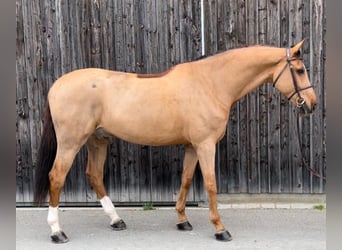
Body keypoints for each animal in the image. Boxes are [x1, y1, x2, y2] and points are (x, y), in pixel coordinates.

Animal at [33, 40, 316, 242]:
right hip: (71, 143)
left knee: (94, 175)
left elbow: (186, 180)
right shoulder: (205, 145)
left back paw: (116, 220)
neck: (211, 83)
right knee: (56, 178)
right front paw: (220, 228)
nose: (311, 105)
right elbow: (211, 184)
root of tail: (57, 85)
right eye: (300, 70)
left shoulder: (192, 146)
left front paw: (182, 221)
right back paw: (56, 231)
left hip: (97, 140)